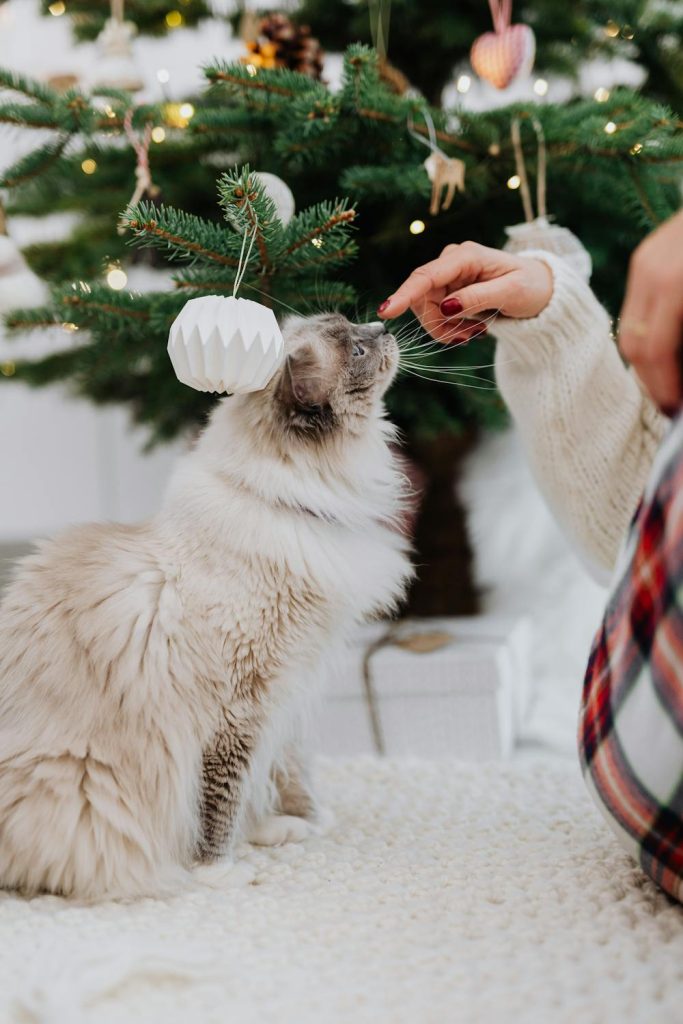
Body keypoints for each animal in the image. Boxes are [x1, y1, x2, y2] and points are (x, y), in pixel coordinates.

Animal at [0, 311, 411, 897]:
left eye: (356, 325)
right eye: (357, 349)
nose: (384, 324)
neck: (290, 507)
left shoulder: (288, 693)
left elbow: (282, 770)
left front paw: (293, 824)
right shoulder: (240, 710)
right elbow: (222, 799)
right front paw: (219, 872)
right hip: (80, 786)